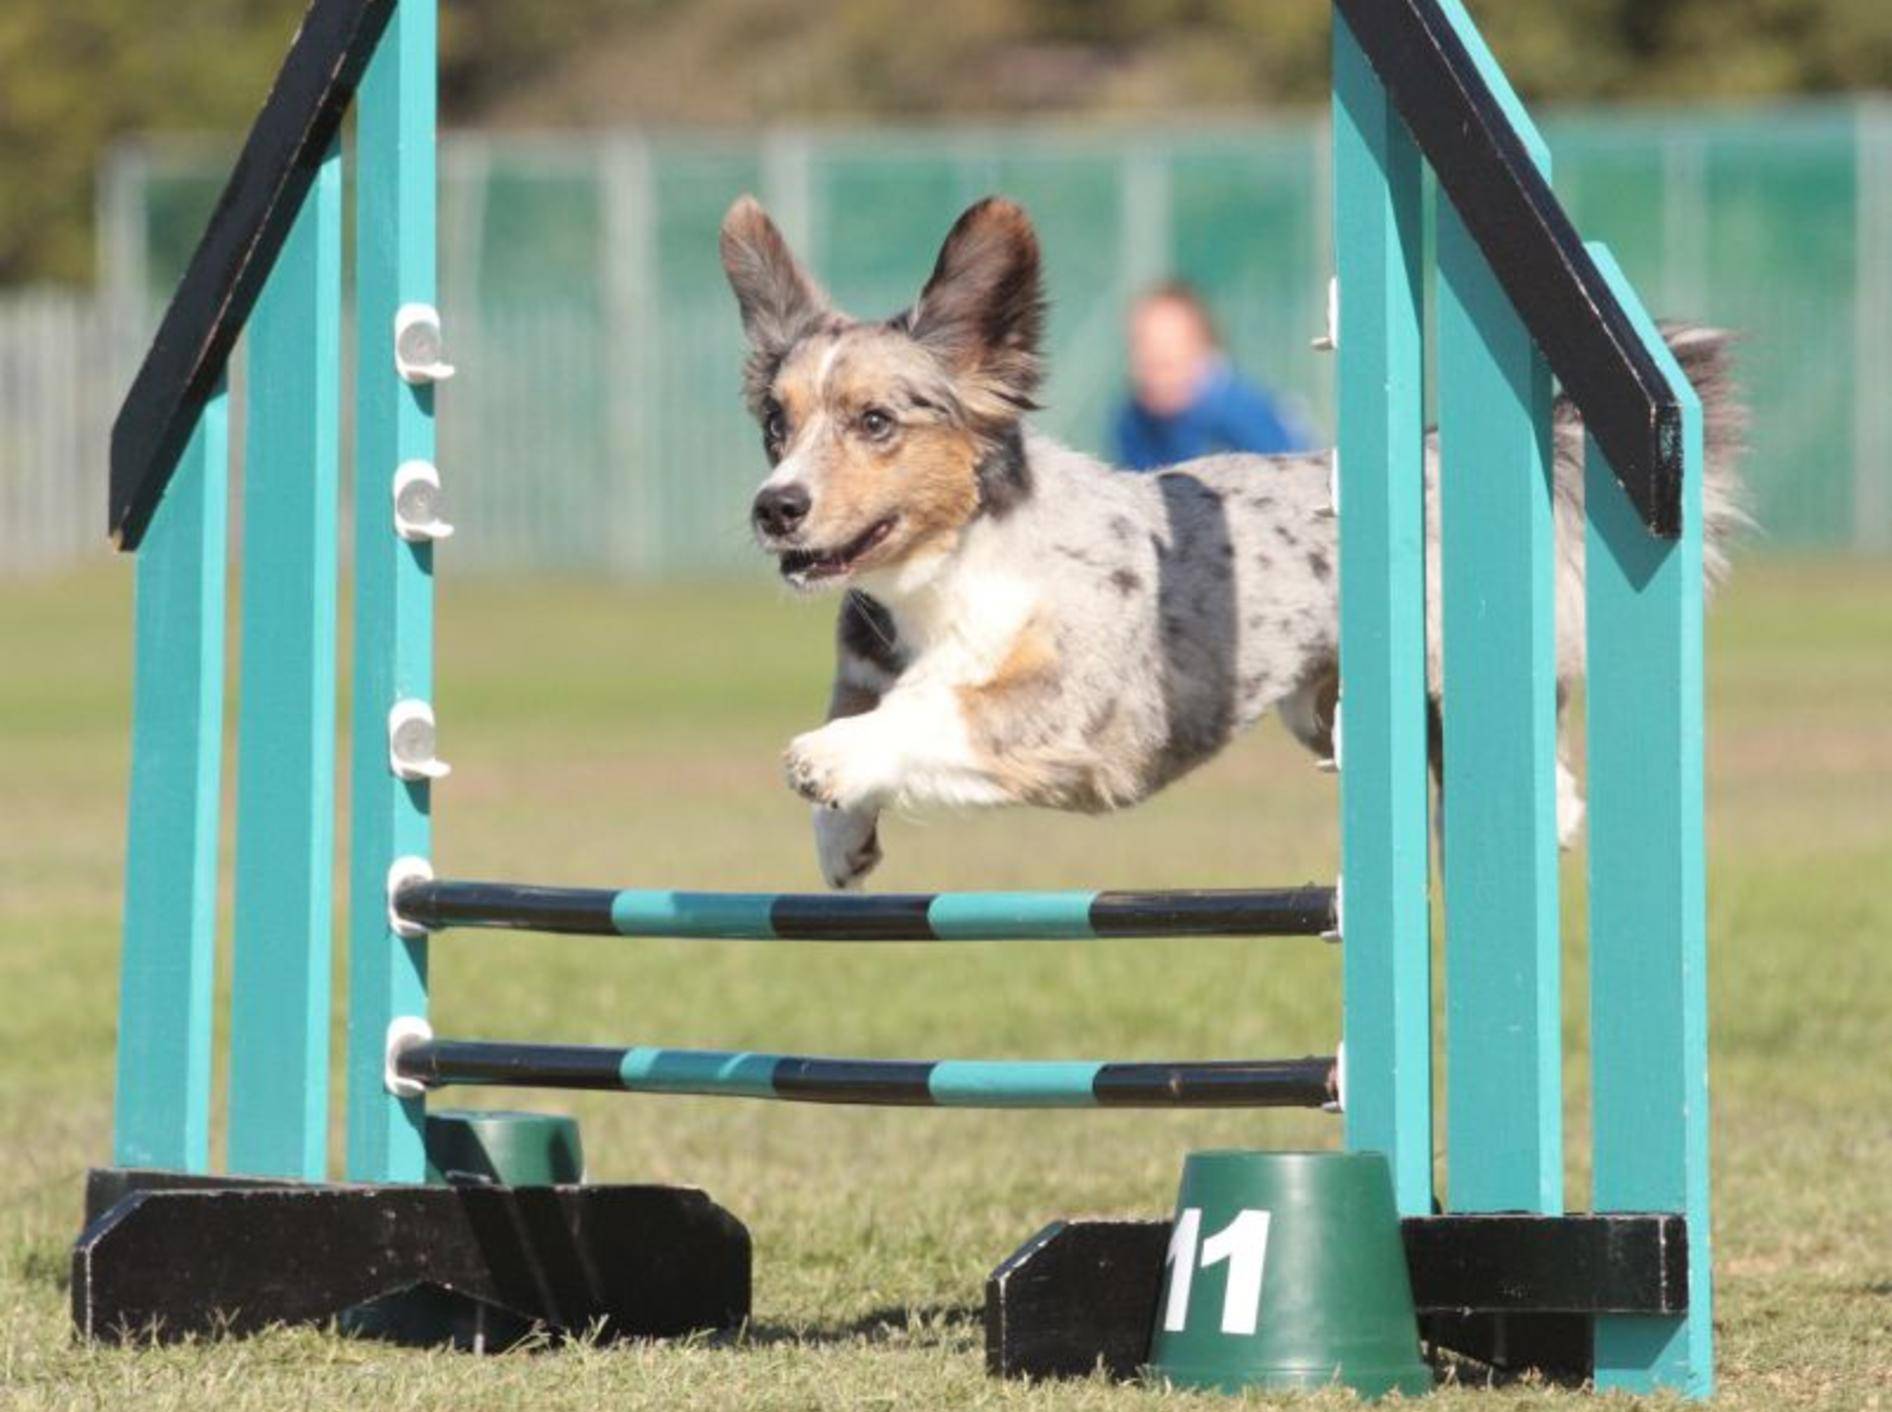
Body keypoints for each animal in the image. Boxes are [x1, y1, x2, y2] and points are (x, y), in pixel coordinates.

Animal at [718, 194, 1740, 885]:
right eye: (775, 424)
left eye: (876, 422)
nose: (774, 508)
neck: (948, 577)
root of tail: (1429, 450)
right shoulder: (871, 661)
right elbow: (872, 707)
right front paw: (842, 840)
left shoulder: (1076, 715)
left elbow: (936, 711)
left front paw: (827, 760)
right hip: (1321, 709)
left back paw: (1554, 811)